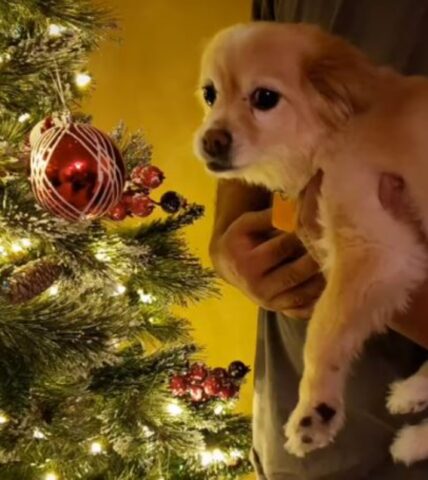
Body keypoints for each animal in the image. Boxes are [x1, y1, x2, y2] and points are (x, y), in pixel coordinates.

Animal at [196, 22, 428, 464]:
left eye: (265, 98)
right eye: (210, 94)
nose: (210, 141)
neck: (337, 130)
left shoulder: (374, 248)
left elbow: (322, 333)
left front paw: (315, 411)